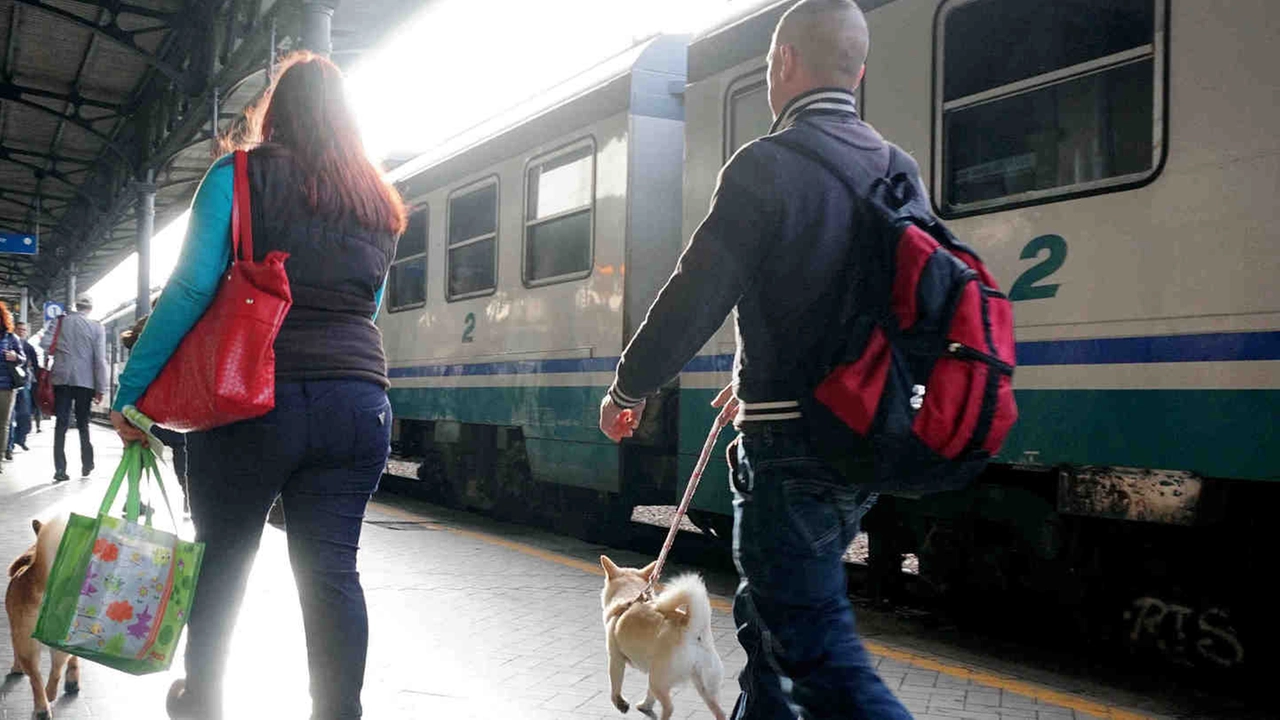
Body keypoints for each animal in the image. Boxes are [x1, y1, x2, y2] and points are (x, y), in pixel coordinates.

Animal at [6, 515, 78, 717]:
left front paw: (16, 668)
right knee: (55, 671)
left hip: (26, 643)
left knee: (36, 677)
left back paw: (42, 708)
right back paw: (52, 695)